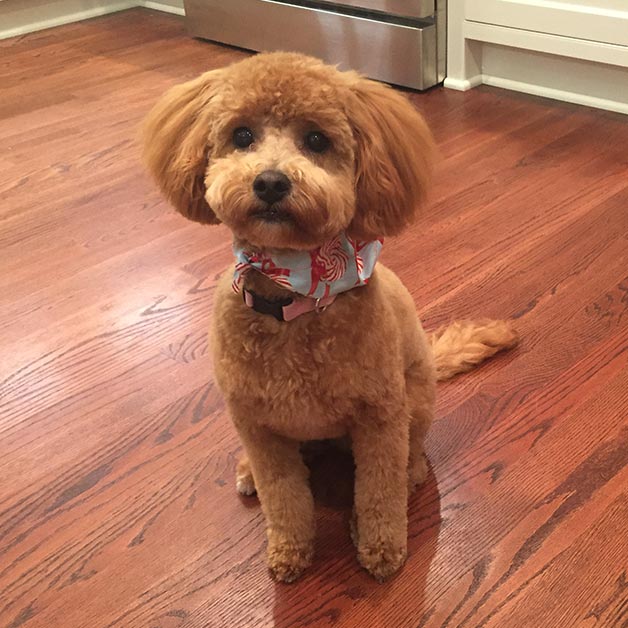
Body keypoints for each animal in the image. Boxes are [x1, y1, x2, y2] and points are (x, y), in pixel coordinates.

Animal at [144, 52, 520, 584]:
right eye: (242, 135)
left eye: (317, 140)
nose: (270, 182)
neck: (294, 301)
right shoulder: (258, 427)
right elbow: (284, 498)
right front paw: (289, 553)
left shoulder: (380, 417)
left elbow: (379, 491)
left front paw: (381, 549)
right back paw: (247, 472)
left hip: (414, 404)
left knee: (410, 459)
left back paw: (404, 482)